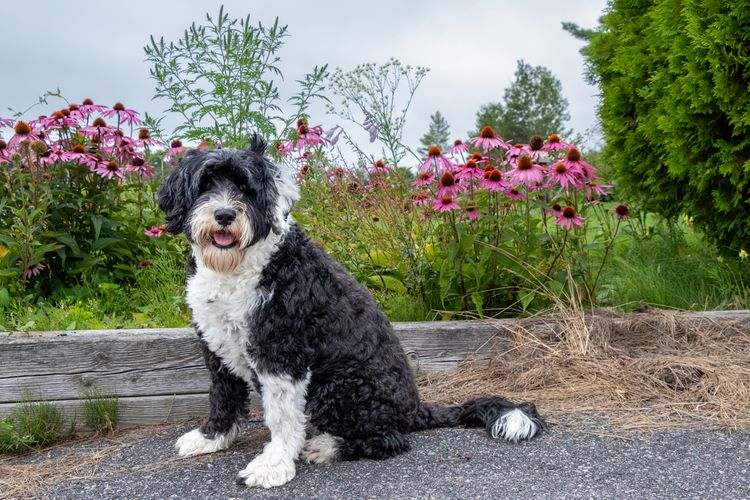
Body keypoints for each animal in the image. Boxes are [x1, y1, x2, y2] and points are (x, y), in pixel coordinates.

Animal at [159, 137, 548, 488]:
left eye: (245, 188)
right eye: (205, 185)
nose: (224, 214)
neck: (240, 267)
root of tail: (415, 408)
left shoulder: (282, 354)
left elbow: (282, 418)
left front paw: (273, 465)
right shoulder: (217, 346)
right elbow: (223, 395)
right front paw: (211, 438)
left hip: (340, 383)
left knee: (388, 440)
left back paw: (326, 445)